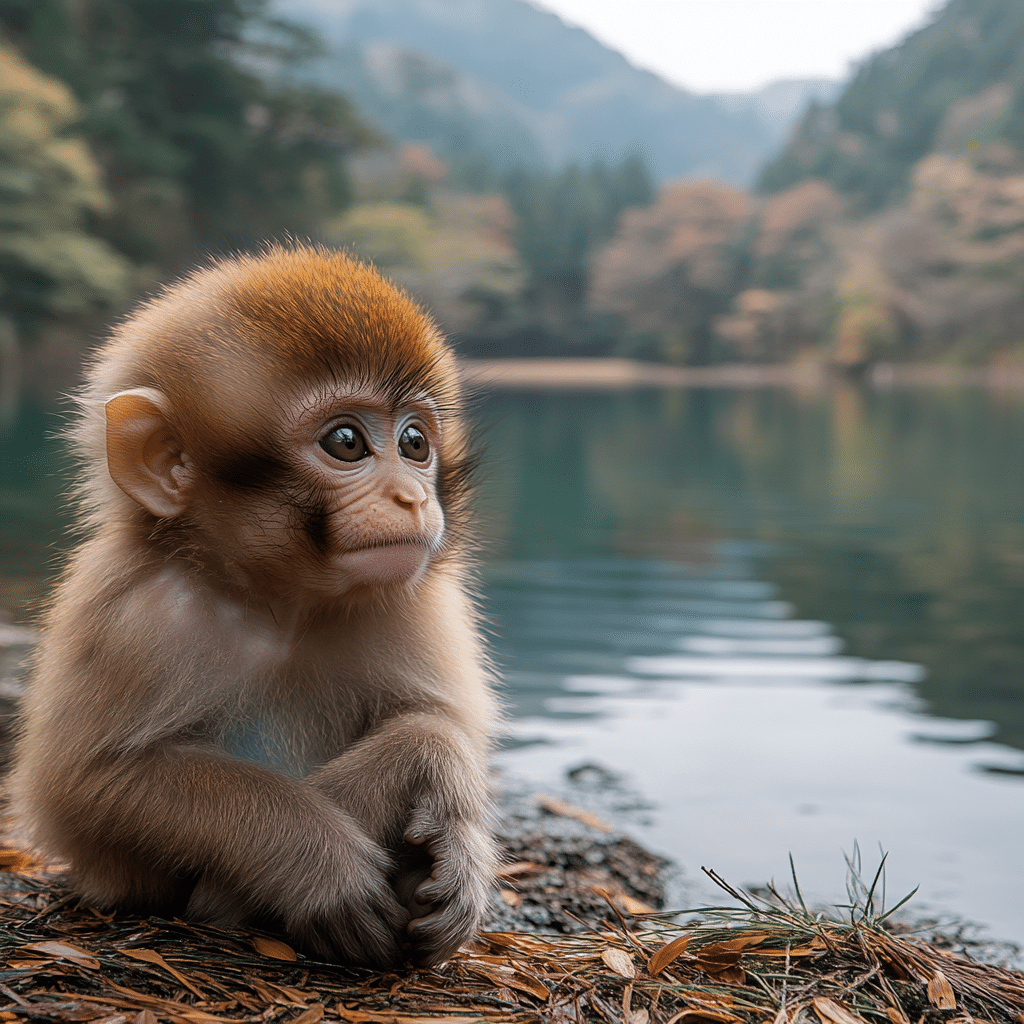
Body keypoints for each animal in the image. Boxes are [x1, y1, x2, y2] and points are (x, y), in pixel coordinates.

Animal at [8, 244, 498, 969]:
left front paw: (452, 821)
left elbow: (442, 723)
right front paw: (321, 865)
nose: (413, 497)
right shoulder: (132, 618)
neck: (278, 602)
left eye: (415, 443)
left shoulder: (419, 605)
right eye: (346, 442)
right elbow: (91, 783)